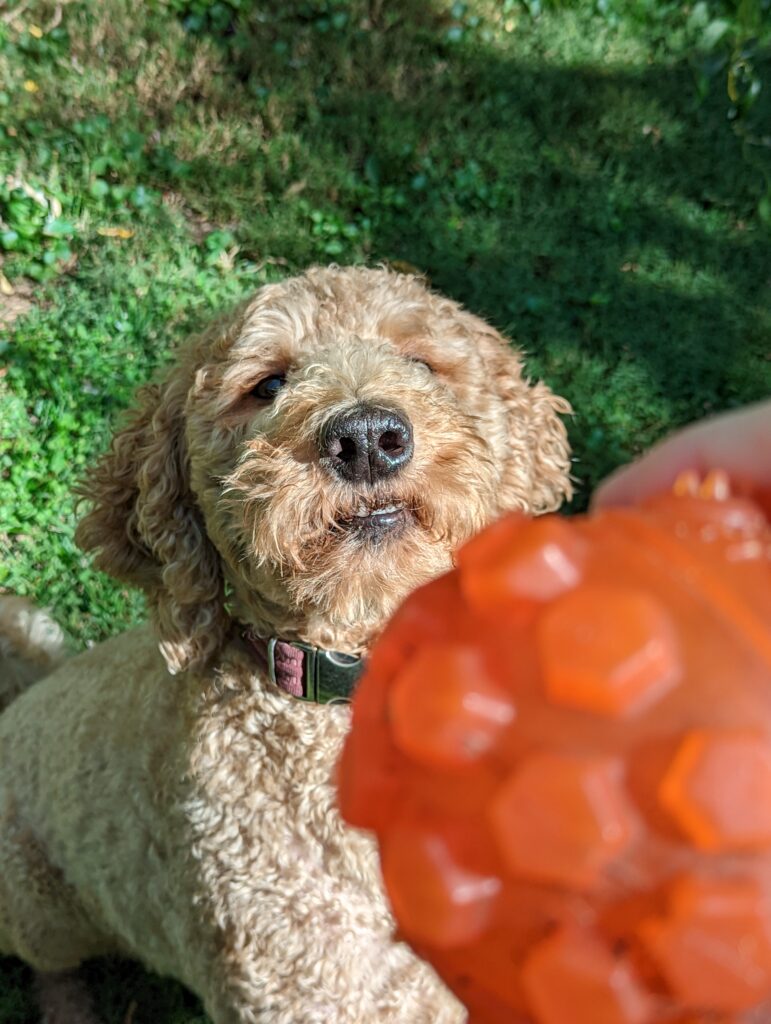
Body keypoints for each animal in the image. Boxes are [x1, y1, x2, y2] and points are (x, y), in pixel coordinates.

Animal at [0, 268, 573, 1019]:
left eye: (421, 361)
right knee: (50, 968)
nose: (367, 437)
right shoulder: (299, 989)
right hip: (36, 901)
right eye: (266, 385)